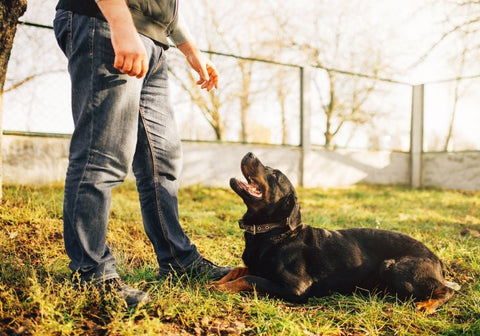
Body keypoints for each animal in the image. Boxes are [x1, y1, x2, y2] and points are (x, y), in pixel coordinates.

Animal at [213, 154, 458, 314]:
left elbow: (250, 278)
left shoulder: (296, 287)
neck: (273, 232)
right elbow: (239, 269)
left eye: (275, 175)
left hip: (393, 267)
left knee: (446, 290)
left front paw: (221, 287)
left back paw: (427, 305)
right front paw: (218, 281)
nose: (249, 153)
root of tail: (437, 259)